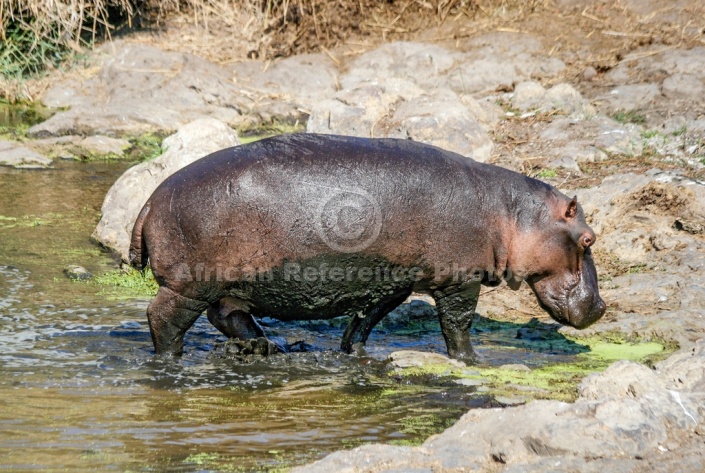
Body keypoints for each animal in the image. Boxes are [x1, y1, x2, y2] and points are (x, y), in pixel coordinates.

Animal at [132, 133, 604, 358]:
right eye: (588, 238)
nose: (600, 307)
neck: (513, 214)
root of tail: (150, 200)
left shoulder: (390, 282)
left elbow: (364, 320)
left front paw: (351, 352)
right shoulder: (459, 280)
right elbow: (457, 325)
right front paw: (473, 360)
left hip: (228, 286)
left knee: (228, 316)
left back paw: (267, 347)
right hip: (188, 285)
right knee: (165, 320)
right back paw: (170, 360)